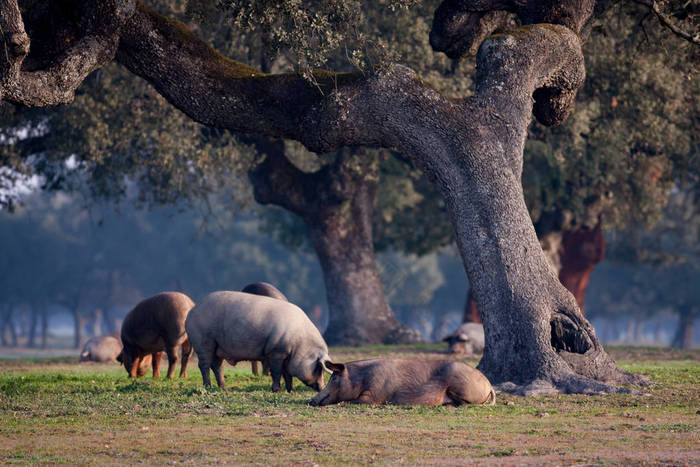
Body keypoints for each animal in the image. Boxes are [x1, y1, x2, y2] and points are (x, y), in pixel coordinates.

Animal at [185, 290, 330, 394]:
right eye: (319, 368)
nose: (322, 388)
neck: (300, 343)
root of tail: (191, 312)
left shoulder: (286, 355)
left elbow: (287, 374)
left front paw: (292, 391)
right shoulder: (276, 352)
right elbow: (277, 372)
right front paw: (277, 390)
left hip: (217, 347)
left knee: (217, 365)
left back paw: (224, 388)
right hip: (203, 341)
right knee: (204, 365)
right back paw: (208, 387)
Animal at [308, 360, 494, 408]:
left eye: (334, 378)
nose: (311, 400)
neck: (361, 379)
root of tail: (489, 384)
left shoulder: (374, 396)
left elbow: (349, 401)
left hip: (461, 386)